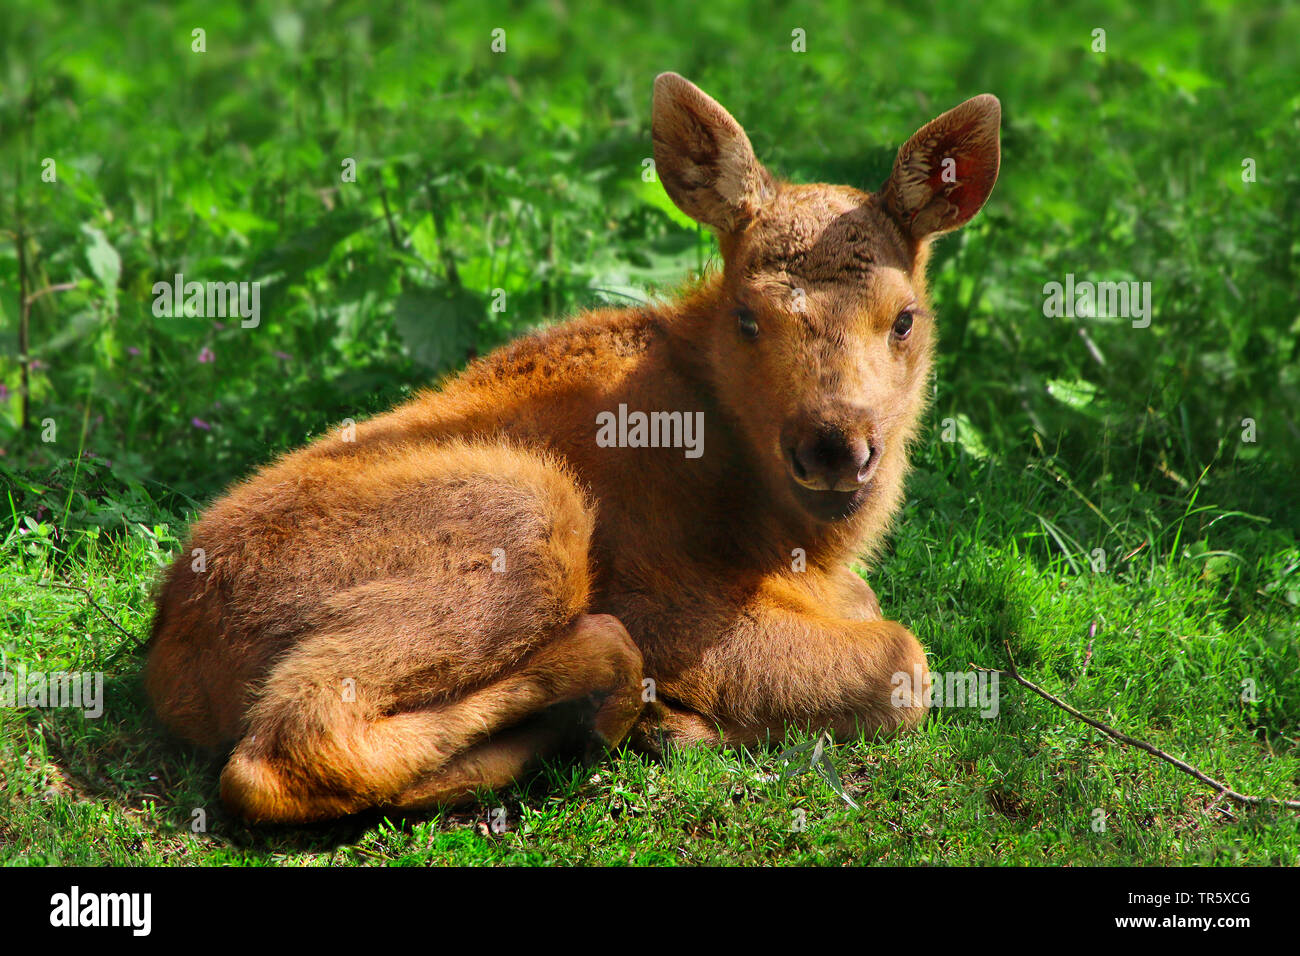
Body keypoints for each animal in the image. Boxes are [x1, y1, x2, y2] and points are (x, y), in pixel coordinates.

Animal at [149, 72, 1003, 822]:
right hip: (528, 515)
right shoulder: (669, 596)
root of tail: (172, 649)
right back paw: (612, 701)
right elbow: (904, 661)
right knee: (285, 747)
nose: (834, 447)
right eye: (748, 317)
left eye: (904, 318)